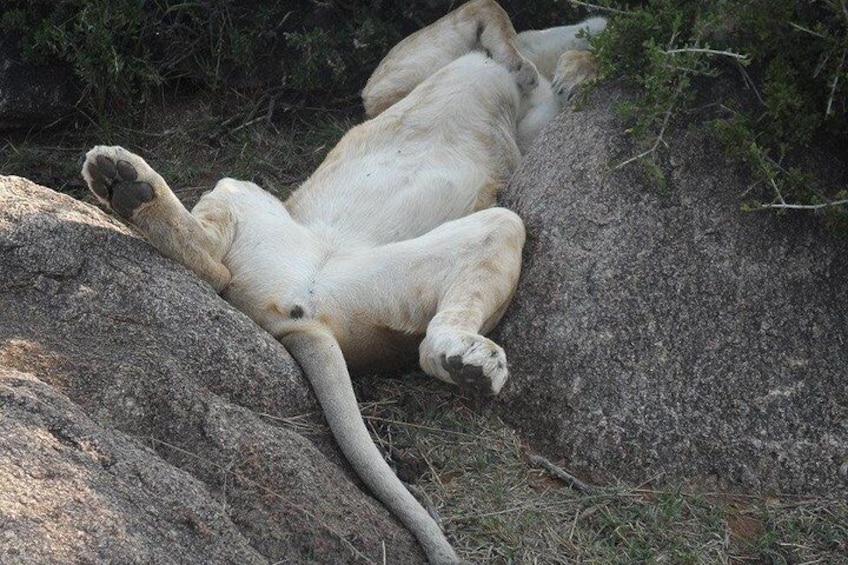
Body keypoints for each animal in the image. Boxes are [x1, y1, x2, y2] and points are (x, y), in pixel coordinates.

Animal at [81, 2, 604, 560]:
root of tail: (298, 319)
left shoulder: (531, 129)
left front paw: (568, 69)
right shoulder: (389, 89)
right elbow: (485, 15)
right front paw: (541, 63)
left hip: (423, 263)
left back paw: (469, 362)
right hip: (249, 197)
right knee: (216, 265)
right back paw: (124, 182)